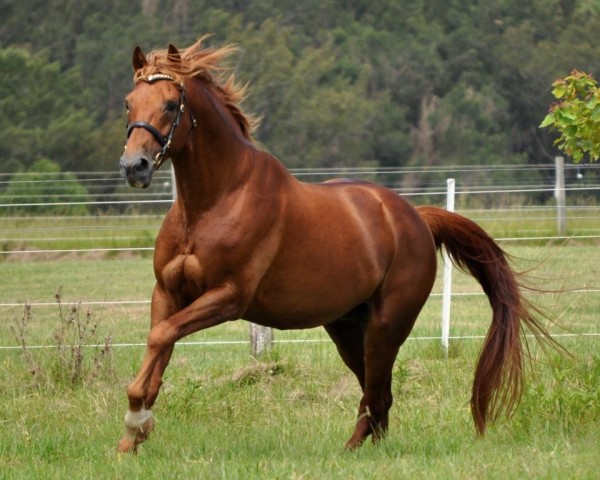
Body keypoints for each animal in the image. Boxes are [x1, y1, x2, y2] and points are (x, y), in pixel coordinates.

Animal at [116, 39, 548, 452]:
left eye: (170, 104)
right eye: (128, 102)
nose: (133, 167)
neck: (211, 203)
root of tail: (416, 217)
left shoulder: (228, 297)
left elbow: (160, 337)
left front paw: (136, 422)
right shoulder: (168, 292)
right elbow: (160, 346)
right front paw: (132, 437)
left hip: (385, 328)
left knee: (377, 395)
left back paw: (354, 450)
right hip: (346, 328)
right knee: (378, 396)